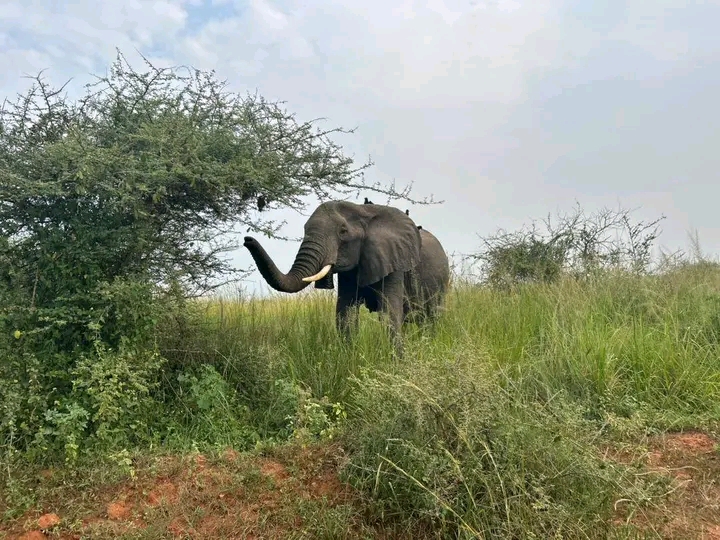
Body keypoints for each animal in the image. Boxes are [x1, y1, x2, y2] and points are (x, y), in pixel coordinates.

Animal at [243, 200, 450, 356]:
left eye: (343, 232)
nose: (247, 239)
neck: (362, 211)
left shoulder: (393, 261)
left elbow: (389, 315)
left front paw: (397, 362)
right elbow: (345, 316)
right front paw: (349, 359)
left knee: (431, 318)